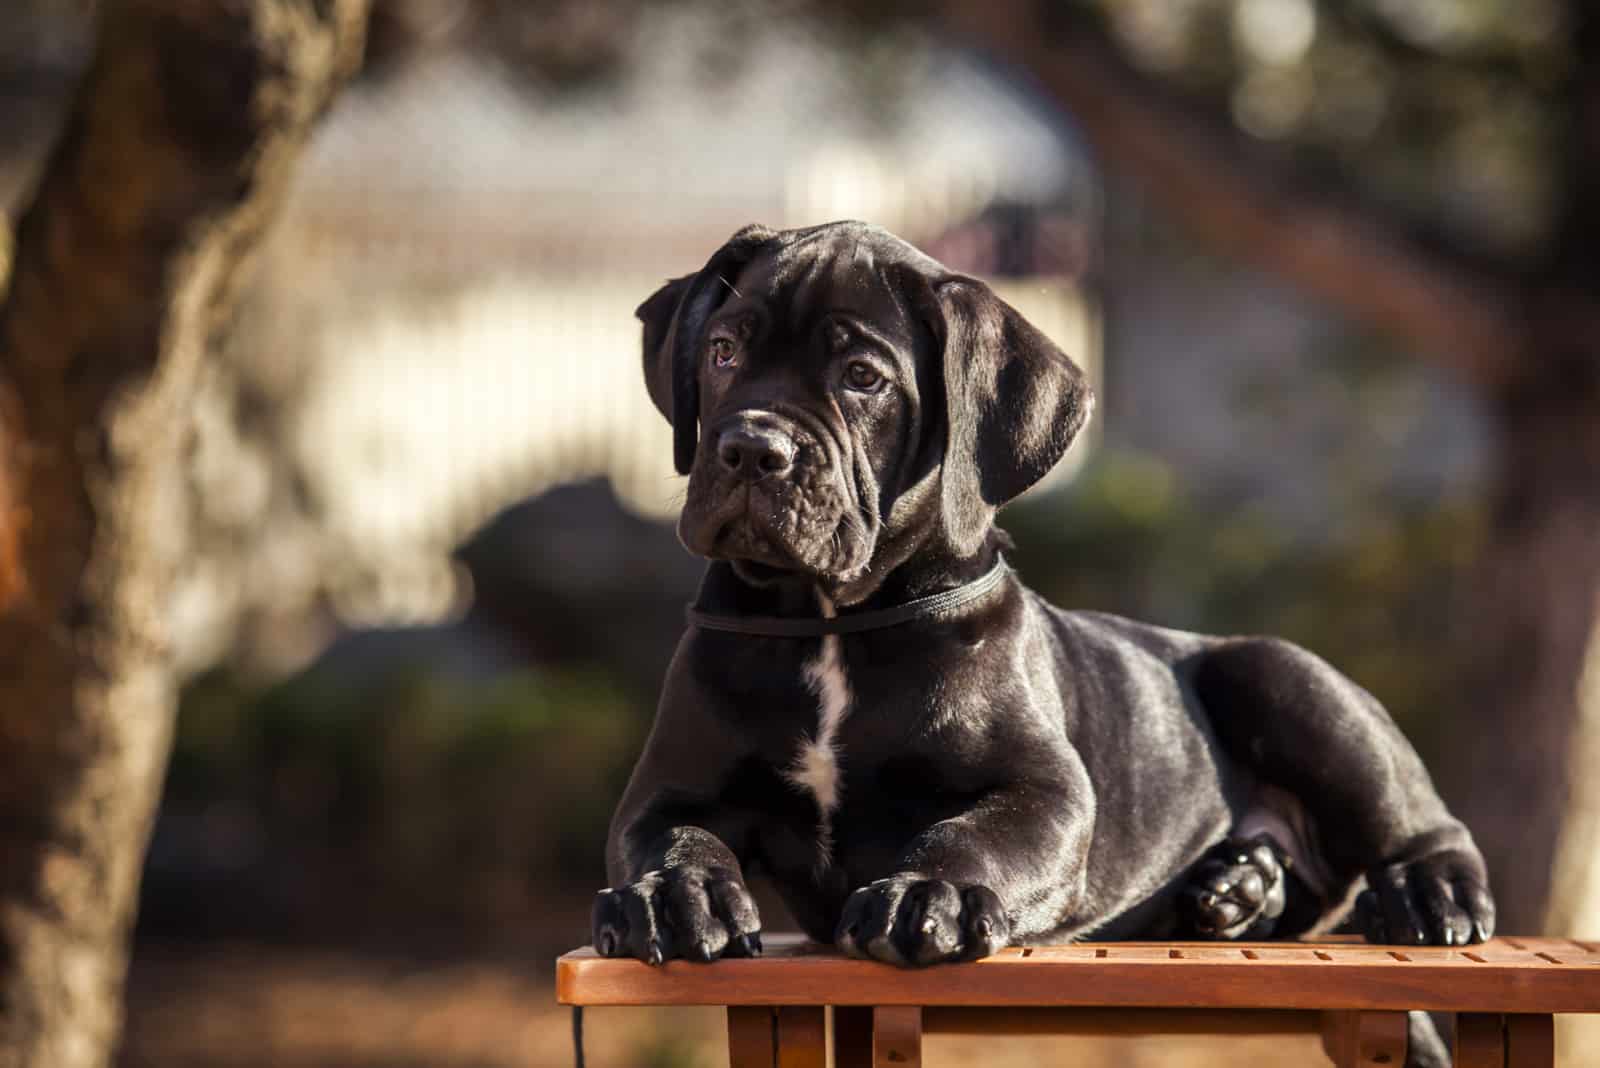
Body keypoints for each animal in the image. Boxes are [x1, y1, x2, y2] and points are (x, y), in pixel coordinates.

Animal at [595, 223, 1491, 984]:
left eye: (862, 379)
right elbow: (672, 838)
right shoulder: (669, 789)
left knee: (1417, 820)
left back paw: (1424, 893)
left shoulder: (1046, 791)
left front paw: (929, 894)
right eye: (722, 350)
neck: (827, 624)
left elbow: (973, 834)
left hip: (1281, 677)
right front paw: (674, 897)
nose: (752, 447)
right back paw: (1236, 888)